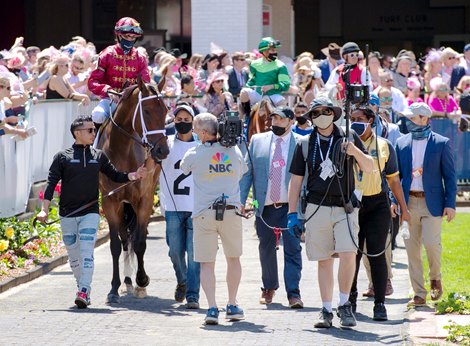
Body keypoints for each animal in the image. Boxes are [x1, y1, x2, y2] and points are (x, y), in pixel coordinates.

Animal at [97, 75, 169, 302]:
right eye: (146, 111)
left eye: (166, 109)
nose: (162, 150)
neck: (123, 150)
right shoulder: (109, 201)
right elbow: (115, 245)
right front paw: (113, 288)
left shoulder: (144, 199)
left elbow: (140, 242)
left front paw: (142, 281)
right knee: (124, 239)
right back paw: (127, 281)